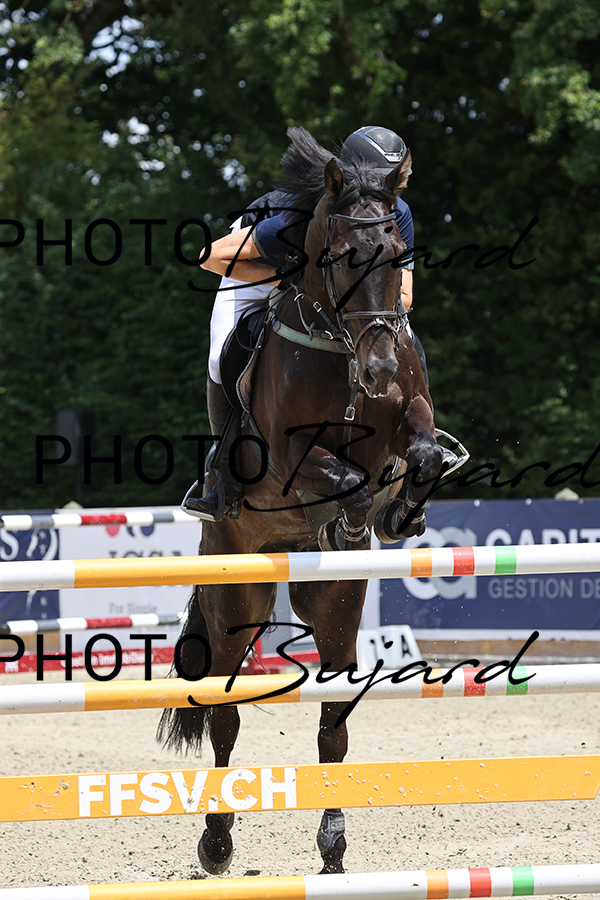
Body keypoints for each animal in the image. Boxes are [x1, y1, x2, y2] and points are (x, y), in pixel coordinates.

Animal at [158, 127, 444, 876]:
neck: (340, 345)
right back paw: (217, 842)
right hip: (236, 594)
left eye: (397, 255)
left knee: (332, 722)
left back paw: (333, 846)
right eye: (338, 257)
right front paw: (355, 513)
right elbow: (346, 479)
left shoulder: (410, 421)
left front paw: (398, 512)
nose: (378, 370)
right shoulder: (289, 461)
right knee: (224, 715)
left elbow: (422, 456)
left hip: (334, 608)